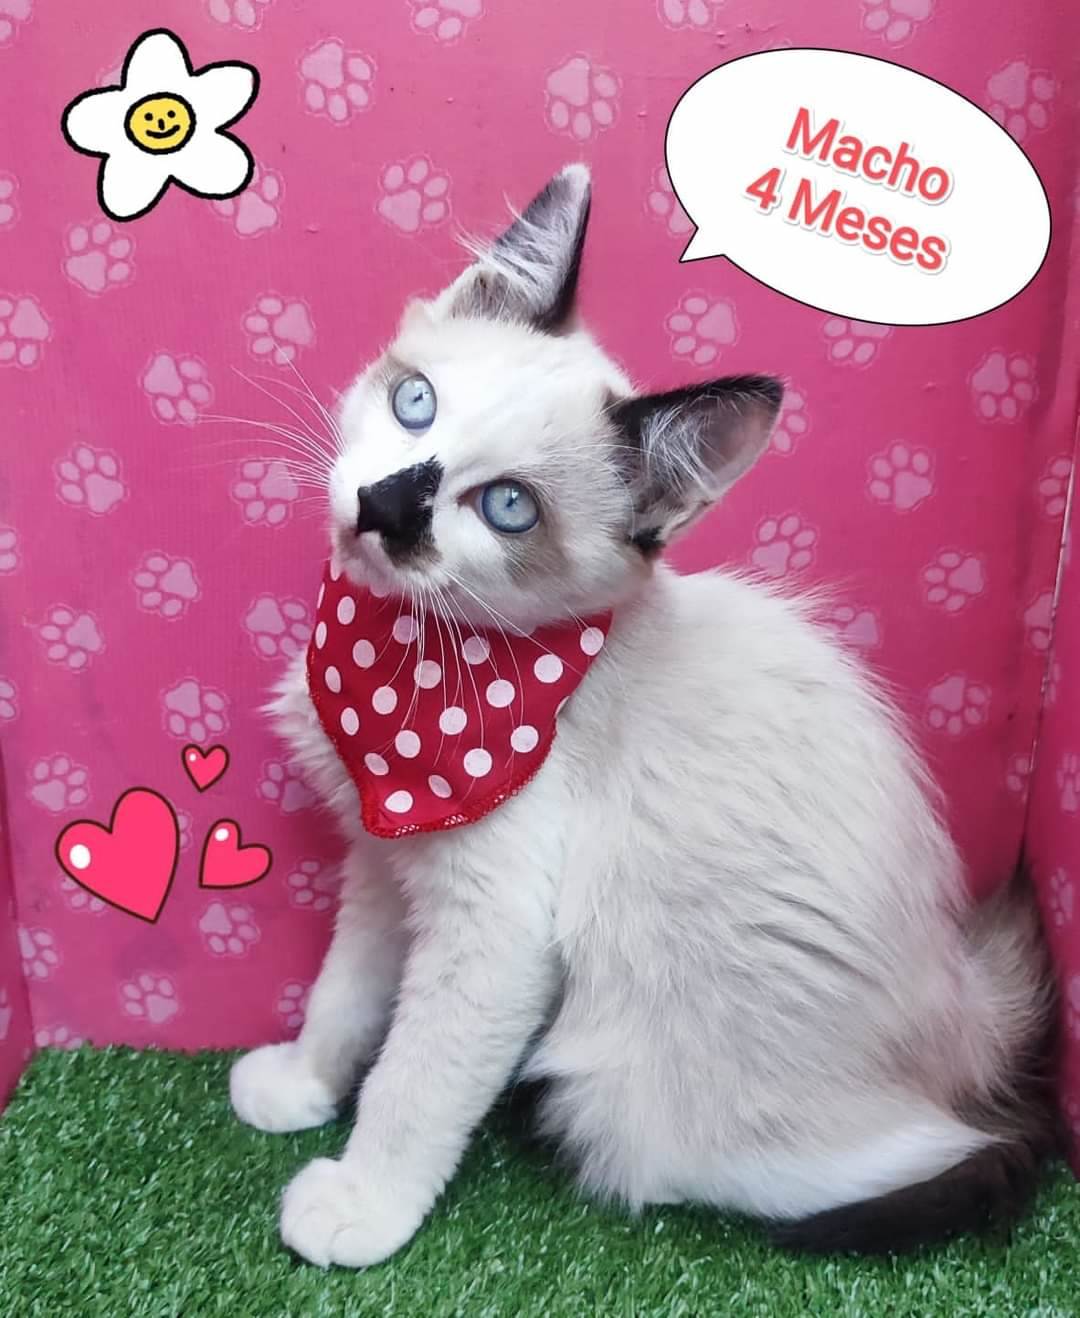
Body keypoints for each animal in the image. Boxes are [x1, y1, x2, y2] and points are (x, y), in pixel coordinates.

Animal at [229, 163, 1057, 1268]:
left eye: (507, 508)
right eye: (416, 404)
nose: (387, 508)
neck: (403, 655)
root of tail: (965, 1013)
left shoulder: (496, 929)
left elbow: (416, 1078)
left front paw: (361, 1205)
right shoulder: (382, 863)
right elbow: (346, 995)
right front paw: (304, 1083)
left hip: (628, 1094)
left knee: (936, 1150)